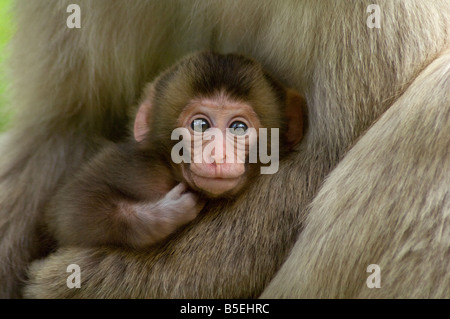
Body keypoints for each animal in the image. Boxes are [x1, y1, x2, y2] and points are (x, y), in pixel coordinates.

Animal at [46, 52, 306, 250]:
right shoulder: (135, 165)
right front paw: (163, 214)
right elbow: (73, 210)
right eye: (200, 125)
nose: (217, 156)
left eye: (238, 128)